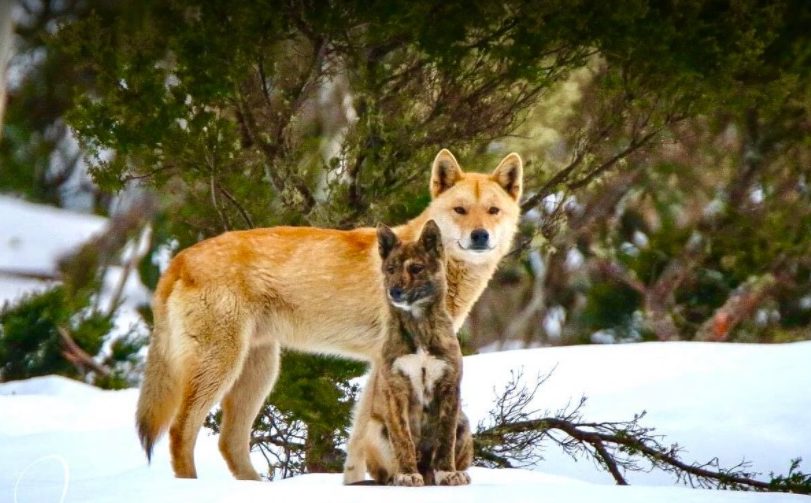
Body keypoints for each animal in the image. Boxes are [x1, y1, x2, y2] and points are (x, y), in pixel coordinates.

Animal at [344, 221, 472, 488]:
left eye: (416, 268)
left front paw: (448, 472)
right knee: (386, 473)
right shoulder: (397, 389)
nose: (394, 291)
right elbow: (403, 439)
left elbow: (445, 440)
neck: (418, 326)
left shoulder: (449, 386)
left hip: (464, 422)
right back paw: (399, 477)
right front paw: (407, 474)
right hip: (373, 429)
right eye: (390, 269)